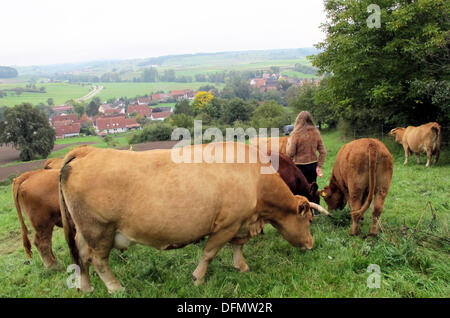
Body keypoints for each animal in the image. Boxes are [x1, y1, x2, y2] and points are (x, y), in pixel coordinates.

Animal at [58, 144, 328, 294]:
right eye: (308, 220)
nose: (311, 244)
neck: (254, 178)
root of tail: (86, 151)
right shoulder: (226, 224)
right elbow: (209, 252)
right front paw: (198, 277)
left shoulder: (240, 223)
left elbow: (237, 246)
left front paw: (241, 266)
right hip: (99, 230)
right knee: (99, 261)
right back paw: (116, 288)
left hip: (85, 232)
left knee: (81, 257)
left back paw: (85, 287)